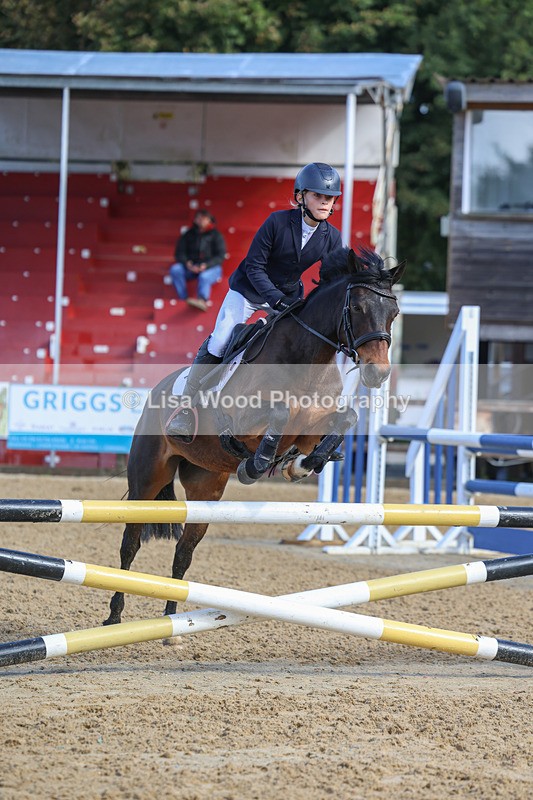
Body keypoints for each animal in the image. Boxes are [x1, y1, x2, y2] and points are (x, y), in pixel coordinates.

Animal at [104, 246, 405, 625]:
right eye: (357, 308)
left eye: (394, 313)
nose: (378, 373)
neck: (307, 359)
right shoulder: (244, 421)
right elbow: (278, 414)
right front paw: (258, 464)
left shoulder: (310, 429)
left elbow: (343, 420)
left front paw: (302, 465)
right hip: (147, 479)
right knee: (130, 543)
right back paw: (114, 616)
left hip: (206, 490)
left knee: (183, 553)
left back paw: (172, 619)